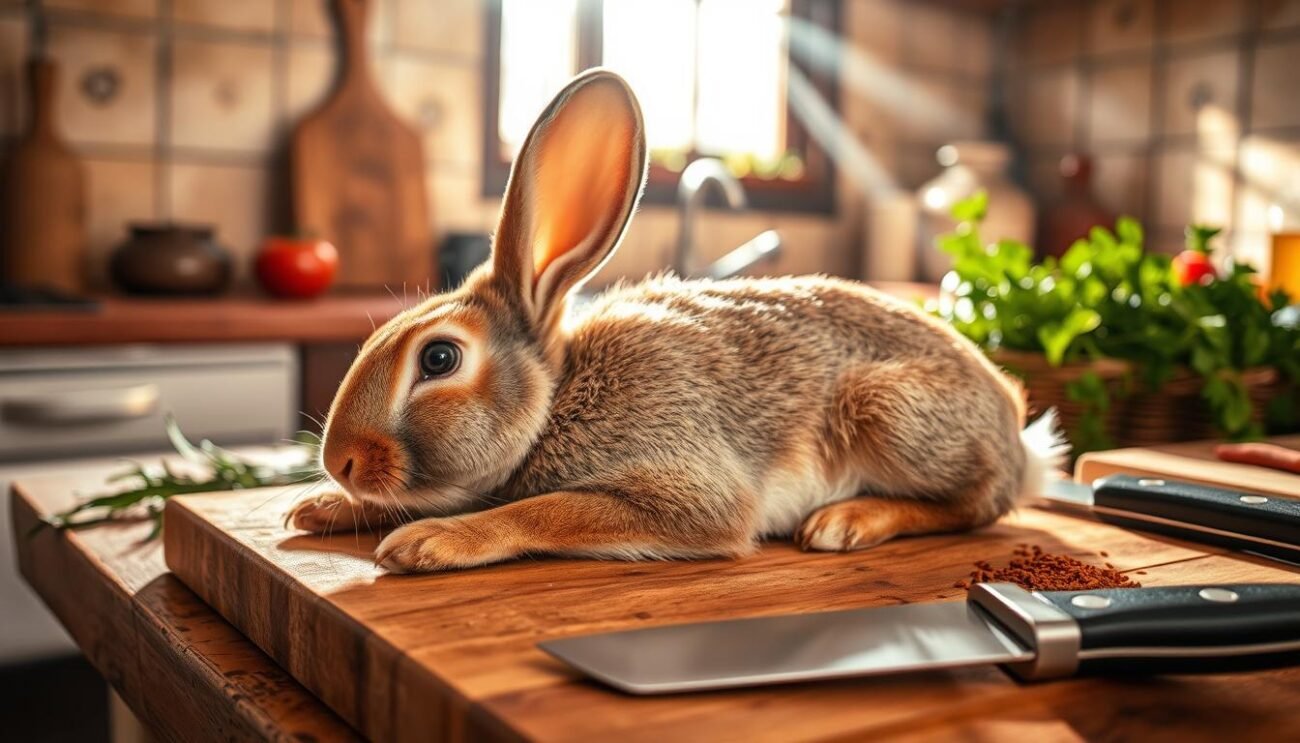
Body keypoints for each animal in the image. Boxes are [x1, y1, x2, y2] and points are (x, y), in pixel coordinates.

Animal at [286, 69, 1066, 573]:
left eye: (440, 359)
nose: (338, 462)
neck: (556, 400)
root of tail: (1020, 438)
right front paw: (319, 509)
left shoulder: (687, 487)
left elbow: (548, 509)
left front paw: (429, 541)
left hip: (886, 407)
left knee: (977, 505)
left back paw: (847, 521)